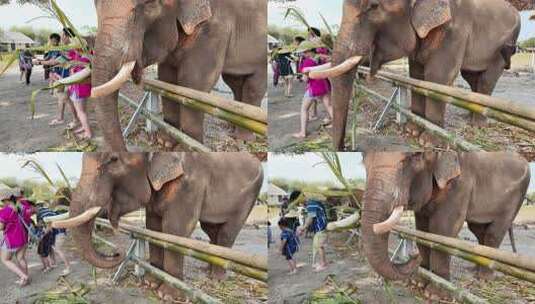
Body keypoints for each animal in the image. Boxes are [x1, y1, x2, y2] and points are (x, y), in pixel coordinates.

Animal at [51, 153, 264, 300]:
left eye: (113, 160)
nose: (117, 253)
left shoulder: (189, 183)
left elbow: (175, 229)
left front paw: (167, 295)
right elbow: (153, 226)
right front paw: (151, 283)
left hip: (249, 196)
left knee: (227, 232)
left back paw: (217, 278)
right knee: (211, 229)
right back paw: (208, 270)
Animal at [92, 0, 270, 151]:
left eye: (148, 4)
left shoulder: (215, 29)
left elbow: (193, 83)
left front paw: (191, 151)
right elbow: (167, 78)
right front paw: (165, 142)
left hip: (261, 55)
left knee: (254, 87)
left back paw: (243, 139)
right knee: (235, 83)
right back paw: (232, 128)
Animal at [318, 0, 524, 150]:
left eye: (374, 6)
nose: (344, 148)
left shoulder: (454, 30)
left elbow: (437, 77)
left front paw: (428, 142)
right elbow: (416, 75)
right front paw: (412, 131)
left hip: (504, 46)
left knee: (487, 79)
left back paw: (478, 125)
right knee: (472, 77)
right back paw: (470, 116)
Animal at [352, 153, 532, 290]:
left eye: (411, 160)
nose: (413, 256)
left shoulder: (460, 186)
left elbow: (442, 230)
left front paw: (435, 291)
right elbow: (422, 229)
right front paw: (419, 282)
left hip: (515, 199)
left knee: (494, 233)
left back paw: (484, 278)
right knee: (479, 230)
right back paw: (474, 270)